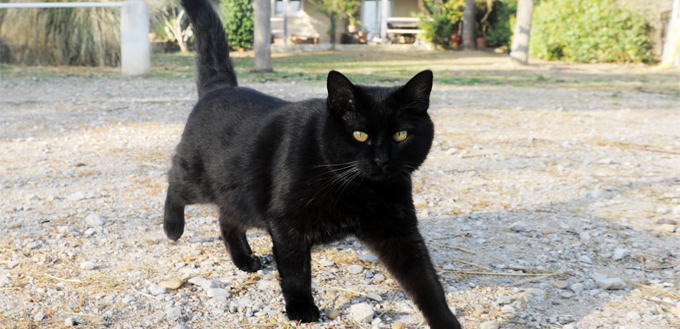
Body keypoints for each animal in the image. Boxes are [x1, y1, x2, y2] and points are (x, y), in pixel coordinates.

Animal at [165, 0, 462, 326]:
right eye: (360, 134)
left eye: (401, 135)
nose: (382, 160)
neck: (357, 188)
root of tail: (221, 87)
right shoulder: (287, 224)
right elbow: (296, 269)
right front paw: (301, 308)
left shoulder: (398, 230)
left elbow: (424, 279)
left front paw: (446, 320)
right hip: (197, 177)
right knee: (175, 183)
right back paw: (172, 228)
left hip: (238, 193)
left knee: (227, 218)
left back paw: (244, 259)